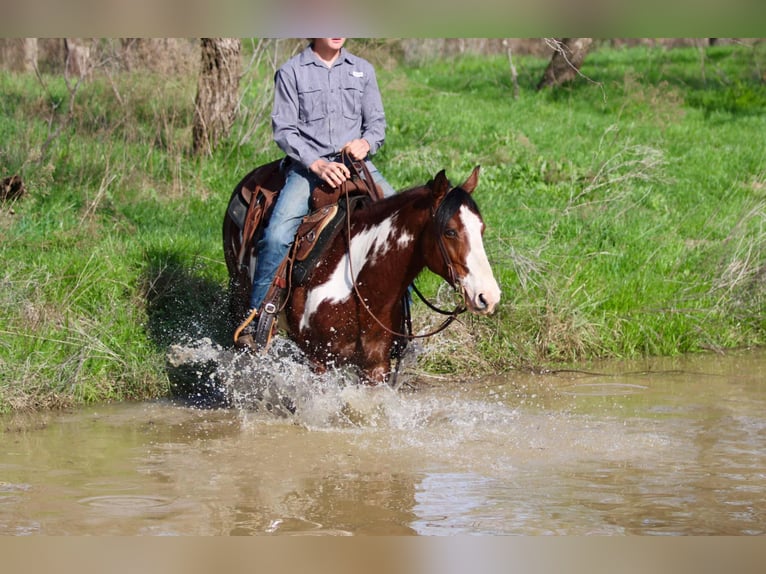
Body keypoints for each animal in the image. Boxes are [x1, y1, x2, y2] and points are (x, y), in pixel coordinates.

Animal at [222, 164, 504, 384]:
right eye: (450, 231)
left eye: (481, 228)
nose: (488, 296)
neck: (360, 283)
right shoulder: (319, 361)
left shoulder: (375, 366)